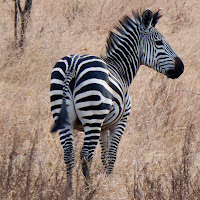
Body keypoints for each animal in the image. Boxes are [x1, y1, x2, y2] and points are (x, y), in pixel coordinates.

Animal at [49, 8, 184, 188]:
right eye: (159, 42)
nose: (181, 67)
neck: (121, 70)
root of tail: (73, 64)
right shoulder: (120, 121)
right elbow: (112, 155)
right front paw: (109, 182)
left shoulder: (104, 126)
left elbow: (104, 155)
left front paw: (106, 180)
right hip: (92, 116)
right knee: (85, 154)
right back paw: (88, 189)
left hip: (63, 114)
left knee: (69, 153)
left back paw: (69, 189)